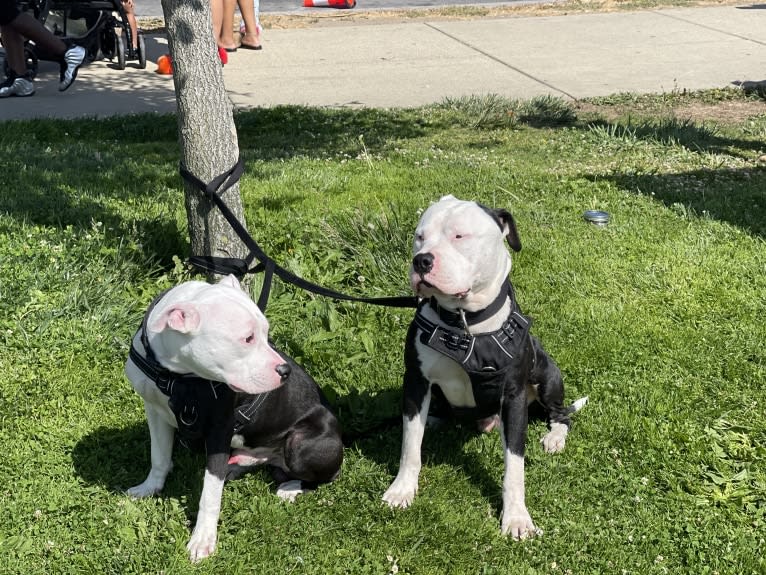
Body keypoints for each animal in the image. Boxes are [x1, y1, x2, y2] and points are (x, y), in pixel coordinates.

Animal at [126, 276, 342, 564]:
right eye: (248, 338)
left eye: (265, 332)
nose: (284, 370)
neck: (176, 375)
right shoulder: (155, 411)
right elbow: (158, 457)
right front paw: (149, 488)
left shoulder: (219, 432)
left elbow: (209, 495)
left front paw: (202, 540)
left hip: (302, 443)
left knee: (325, 476)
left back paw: (290, 487)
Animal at [384, 197, 588, 540]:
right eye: (420, 237)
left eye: (459, 236)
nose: (421, 261)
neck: (465, 324)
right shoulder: (416, 382)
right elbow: (410, 444)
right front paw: (402, 489)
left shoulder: (514, 396)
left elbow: (514, 466)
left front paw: (517, 517)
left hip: (545, 375)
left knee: (561, 414)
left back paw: (555, 437)